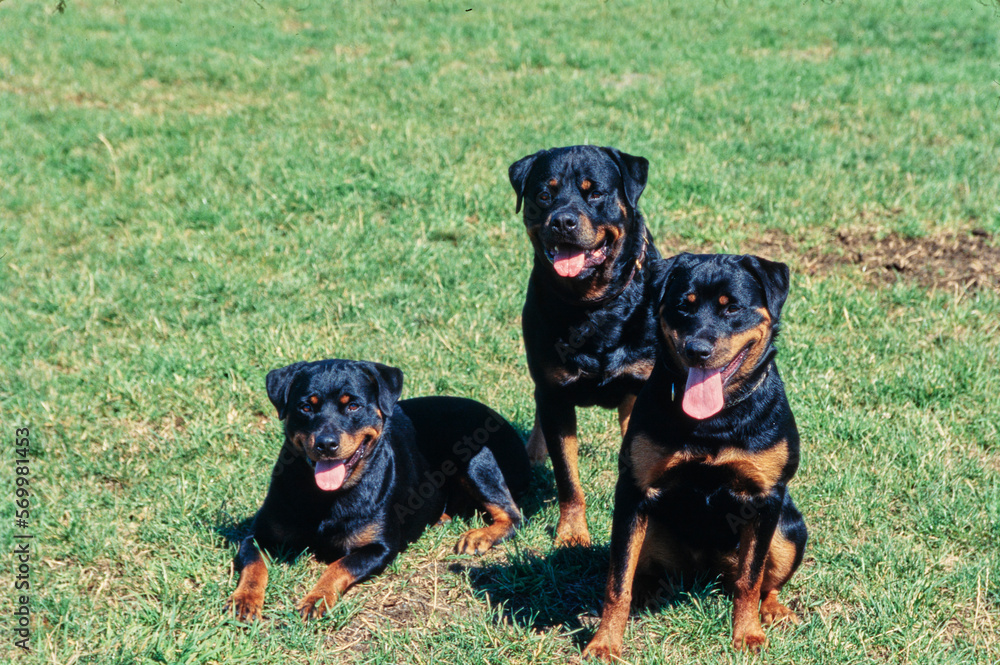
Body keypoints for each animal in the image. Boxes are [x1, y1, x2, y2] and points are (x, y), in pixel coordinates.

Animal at [223, 356, 528, 620]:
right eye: (306, 407)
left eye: (353, 406)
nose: (326, 444)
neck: (328, 497)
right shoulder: (257, 535)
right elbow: (254, 564)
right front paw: (244, 599)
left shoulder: (380, 547)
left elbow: (339, 565)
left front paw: (317, 598)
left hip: (478, 457)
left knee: (513, 515)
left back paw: (479, 536)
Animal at [508, 145, 664, 544]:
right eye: (543, 195)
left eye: (594, 193)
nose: (562, 221)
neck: (591, 304)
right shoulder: (555, 393)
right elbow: (567, 475)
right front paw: (572, 533)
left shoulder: (639, 386)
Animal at [584, 254, 804, 660]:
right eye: (683, 305)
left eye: (732, 307)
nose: (697, 349)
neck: (714, 421)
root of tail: (705, 572)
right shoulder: (634, 492)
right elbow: (617, 582)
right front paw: (605, 642)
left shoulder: (766, 497)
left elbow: (750, 580)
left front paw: (748, 635)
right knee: (637, 573)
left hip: (789, 529)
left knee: (762, 581)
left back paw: (774, 610)